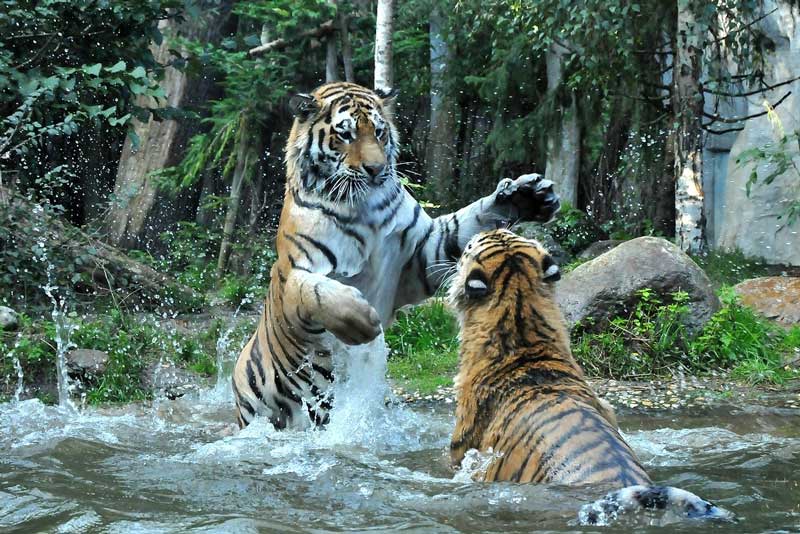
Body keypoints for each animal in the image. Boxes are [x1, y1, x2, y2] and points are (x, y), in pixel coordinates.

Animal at [231, 82, 561, 430]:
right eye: (345, 134)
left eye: (379, 132)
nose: (376, 170)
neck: (362, 211)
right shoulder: (293, 273)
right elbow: (316, 291)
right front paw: (361, 322)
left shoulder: (421, 255)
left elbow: (468, 221)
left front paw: (527, 196)